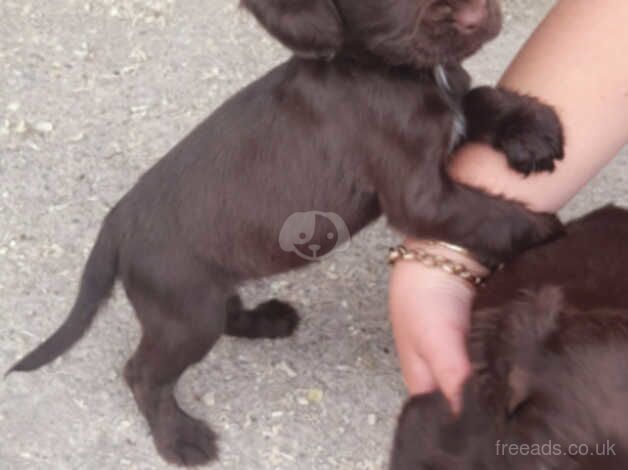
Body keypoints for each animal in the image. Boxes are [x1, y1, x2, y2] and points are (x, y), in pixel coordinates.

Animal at [7, 0, 560, 466]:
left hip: (201, 295)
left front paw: (533, 126)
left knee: (225, 315)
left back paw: (266, 321)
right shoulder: (421, 196)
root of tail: (116, 222)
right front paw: (551, 231)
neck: (390, 69)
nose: (474, 16)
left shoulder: (454, 110)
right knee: (142, 373)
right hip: (186, 311)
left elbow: (479, 96)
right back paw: (180, 438)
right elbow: (492, 215)